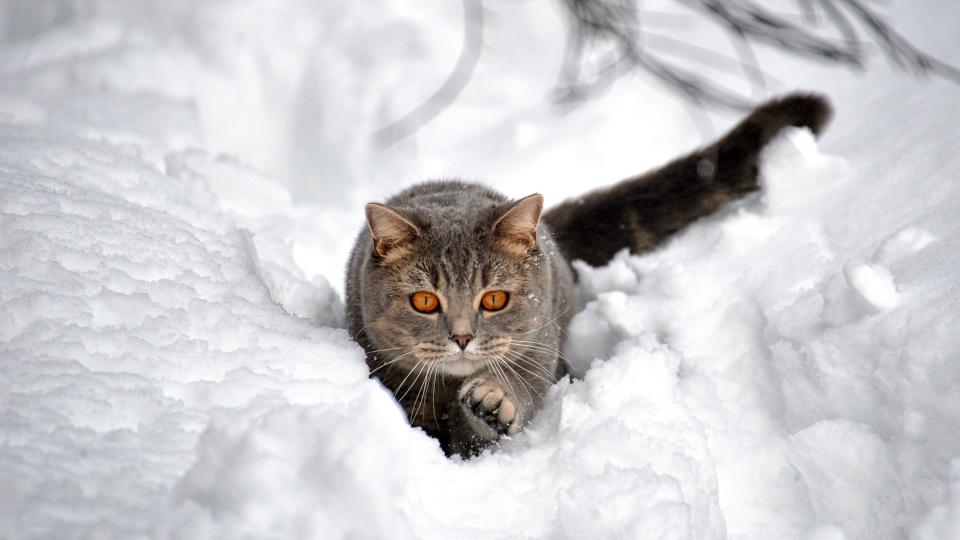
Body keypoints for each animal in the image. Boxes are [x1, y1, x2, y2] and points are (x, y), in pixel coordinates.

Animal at [346, 94, 832, 456]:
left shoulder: (537, 351)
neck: (449, 388)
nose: (462, 337)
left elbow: (503, 409)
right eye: (425, 301)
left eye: (494, 299)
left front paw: (491, 402)